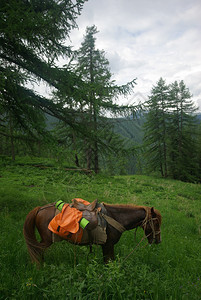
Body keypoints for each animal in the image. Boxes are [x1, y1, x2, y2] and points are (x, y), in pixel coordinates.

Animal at [23, 203, 162, 264]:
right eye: (156, 223)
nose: (158, 241)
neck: (115, 217)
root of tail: (40, 209)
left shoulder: (106, 246)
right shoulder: (108, 245)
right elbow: (108, 262)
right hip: (46, 241)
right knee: (37, 251)